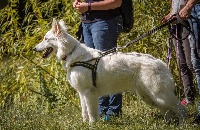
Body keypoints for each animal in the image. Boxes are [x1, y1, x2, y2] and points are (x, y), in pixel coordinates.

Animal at [33, 18, 188, 125]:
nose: (34, 48)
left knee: (181, 109)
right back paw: (167, 124)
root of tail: (160, 62)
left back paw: (183, 124)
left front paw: (92, 125)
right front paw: (84, 124)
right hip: (150, 97)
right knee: (167, 111)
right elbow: (84, 111)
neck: (73, 53)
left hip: (159, 95)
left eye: (45, 39)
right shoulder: (82, 93)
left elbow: (91, 113)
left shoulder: (89, 93)